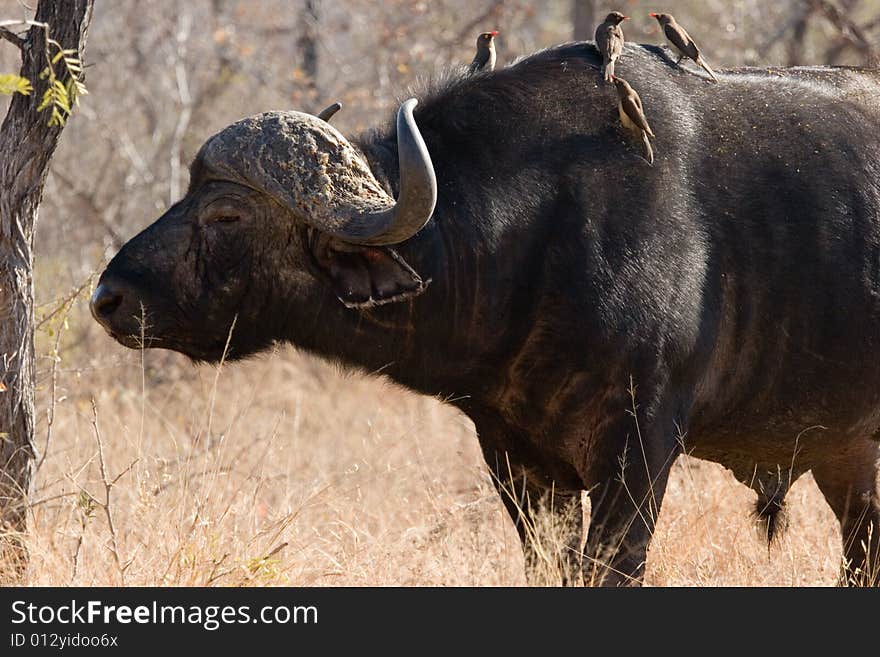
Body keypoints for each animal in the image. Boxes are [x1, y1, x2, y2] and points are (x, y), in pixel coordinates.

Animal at [89, 42, 880, 584]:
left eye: (226, 213)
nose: (109, 298)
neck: (536, 235)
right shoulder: (516, 458)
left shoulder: (641, 447)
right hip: (850, 460)